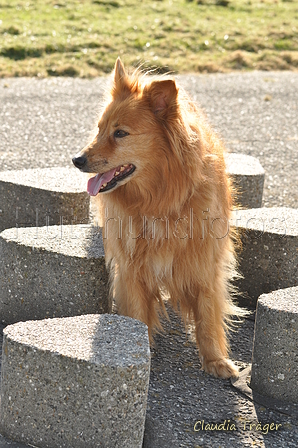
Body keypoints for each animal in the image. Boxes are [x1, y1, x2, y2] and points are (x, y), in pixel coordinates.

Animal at [73, 57, 244, 378]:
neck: (159, 201)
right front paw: (141, 350)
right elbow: (138, 314)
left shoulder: (204, 262)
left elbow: (207, 313)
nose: (76, 159)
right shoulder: (130, 266)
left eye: (120, 133)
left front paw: (215, 359)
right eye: (99, 129)